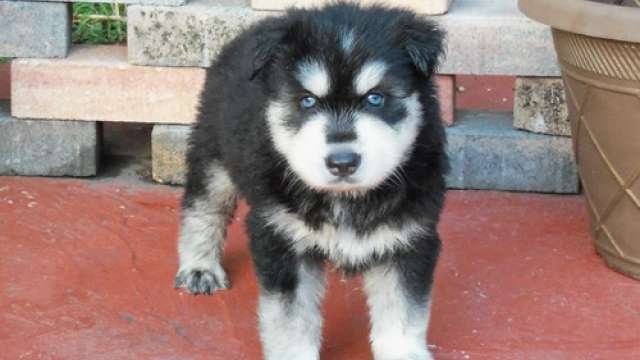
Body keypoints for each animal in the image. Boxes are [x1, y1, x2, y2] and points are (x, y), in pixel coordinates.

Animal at [172, 3, 448, 360]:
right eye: (307, 101)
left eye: (375, 98)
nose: (342, 162)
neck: (346, 199)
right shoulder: (282, 240)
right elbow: (291, 320)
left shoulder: (409, 240)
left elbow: (403, 314)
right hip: (213, 152)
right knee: (203, 208)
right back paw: (199, 267)